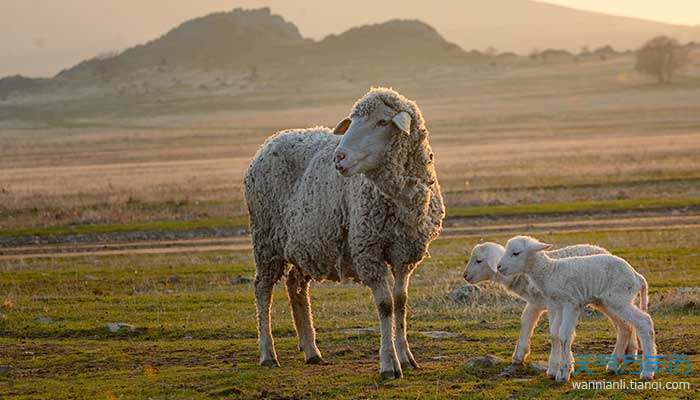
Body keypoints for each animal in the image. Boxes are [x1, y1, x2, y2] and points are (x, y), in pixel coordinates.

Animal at [245, 86, 442, 378]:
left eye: (382, 122)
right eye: (353, 121)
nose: (338, 157)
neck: (398, 199)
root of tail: (270, 140)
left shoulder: (405, 254)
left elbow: (400, 302)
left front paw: (406, 357)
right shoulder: (367, 249)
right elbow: (385, 305)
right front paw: (388, 364)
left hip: (307, 244)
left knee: (295, 286)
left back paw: (311, 350)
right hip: (266, 239)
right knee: (263, 289)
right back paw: (268, 353)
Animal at [462, 242, 636, 376]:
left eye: (479, 261)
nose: (465, 276)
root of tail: (604, 250)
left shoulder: (554, 304)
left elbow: (558, 333)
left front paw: (561, 365)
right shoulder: (535, 304)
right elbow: (526, 322)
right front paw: (519, 355)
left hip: (609, 300)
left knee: (625, 324)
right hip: (602, 301)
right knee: (626, 323)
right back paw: (630, 353)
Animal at [498, 236, 656, 382]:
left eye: (516, 253)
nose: (499, 267)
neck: (550, 272)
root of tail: (637, 277)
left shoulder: (570, 303)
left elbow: (564, 335)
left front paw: (563, 373)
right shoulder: (556, 306)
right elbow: (555, 333)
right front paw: (556, 369)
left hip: (619, 298)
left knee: (644, 322)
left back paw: (647, 372)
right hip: (607, 301)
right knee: (625, 327)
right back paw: (613, 365)